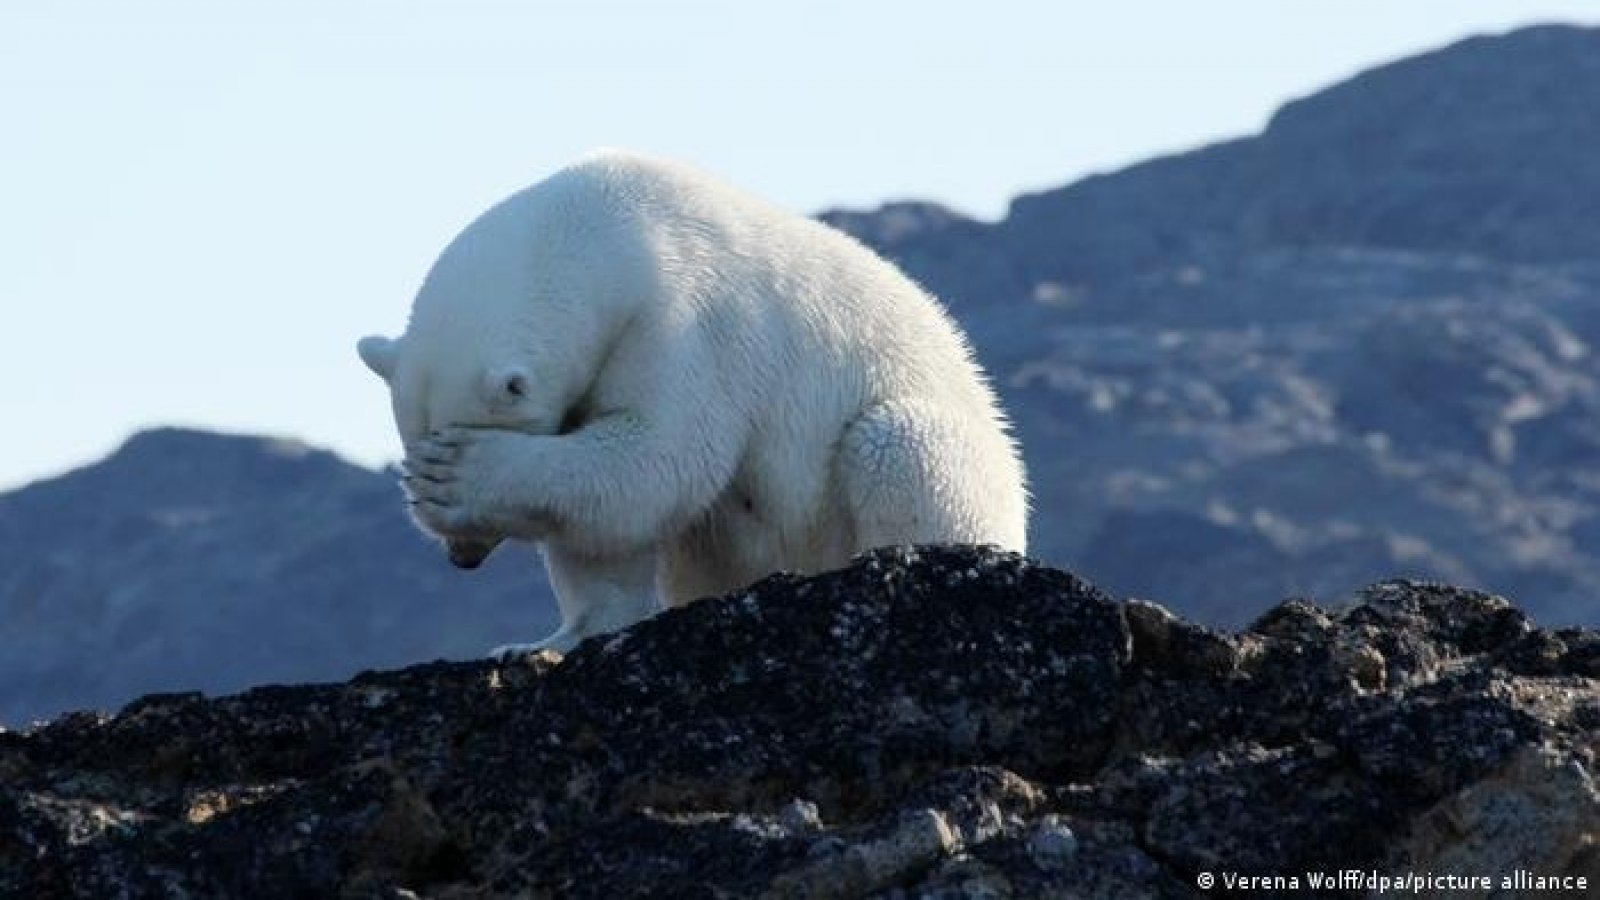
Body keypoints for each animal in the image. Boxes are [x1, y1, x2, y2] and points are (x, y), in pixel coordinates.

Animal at [356, 148, 1030, 650]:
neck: (604, 228)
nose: (462, 558)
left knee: (895, 447)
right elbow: (605, 526)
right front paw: (546, 641)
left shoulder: (687, 321)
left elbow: (661, 457)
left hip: (947, 454)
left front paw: (457, 472)